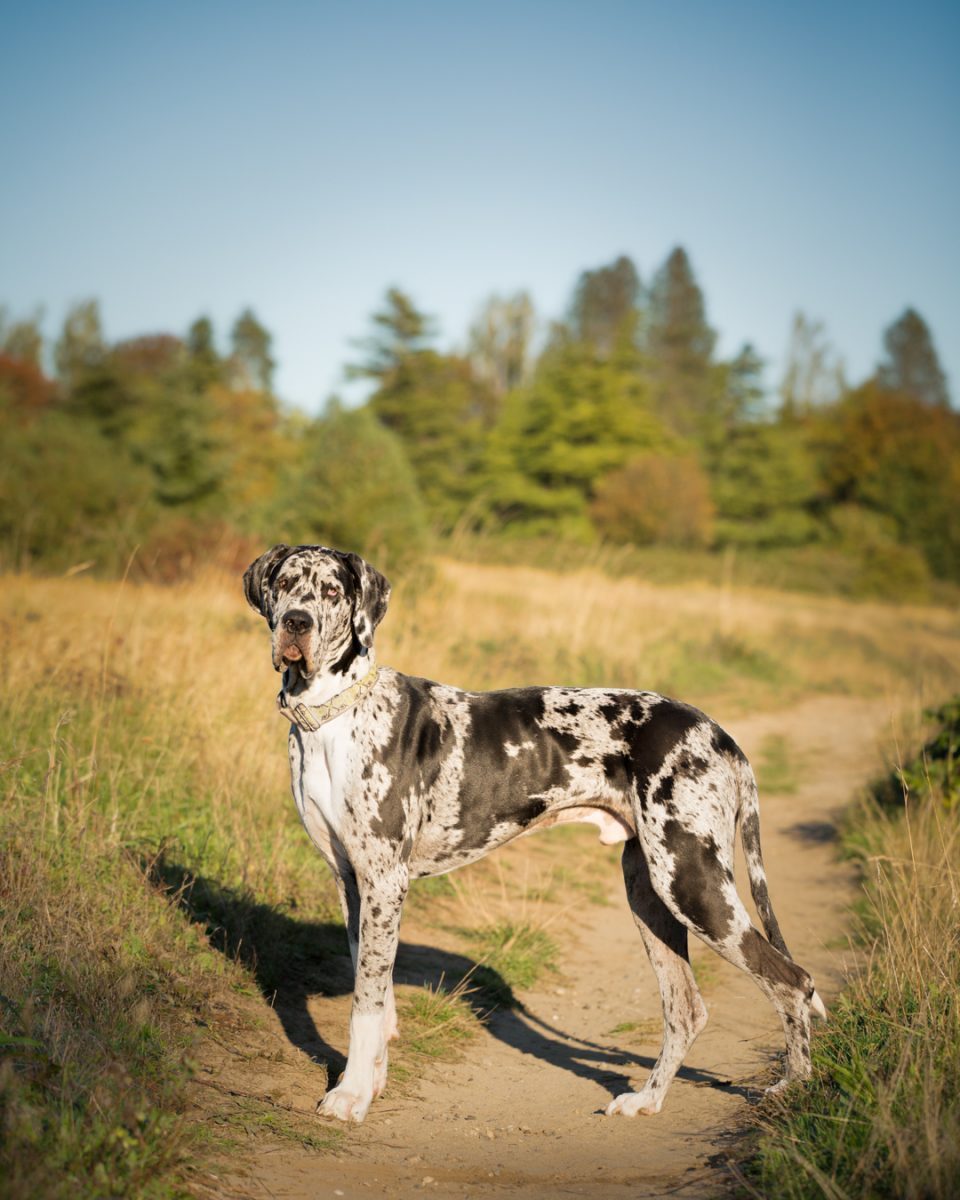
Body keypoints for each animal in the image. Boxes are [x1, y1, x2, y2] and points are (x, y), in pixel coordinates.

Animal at [243, 544, 820, 1123]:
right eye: (285, 583)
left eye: (332, 591)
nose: (297, 622)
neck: (334, 715)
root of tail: (722, 737)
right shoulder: (352, 882)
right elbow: (376, 991)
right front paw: (371, 1082)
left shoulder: (384, 881)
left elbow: (366, 1001)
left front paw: (351, 1095)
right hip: (649, 893)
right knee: (687, 1008)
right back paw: (647, 1100)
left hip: (691, 882)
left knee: (792, 981)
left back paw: (792, 1090)